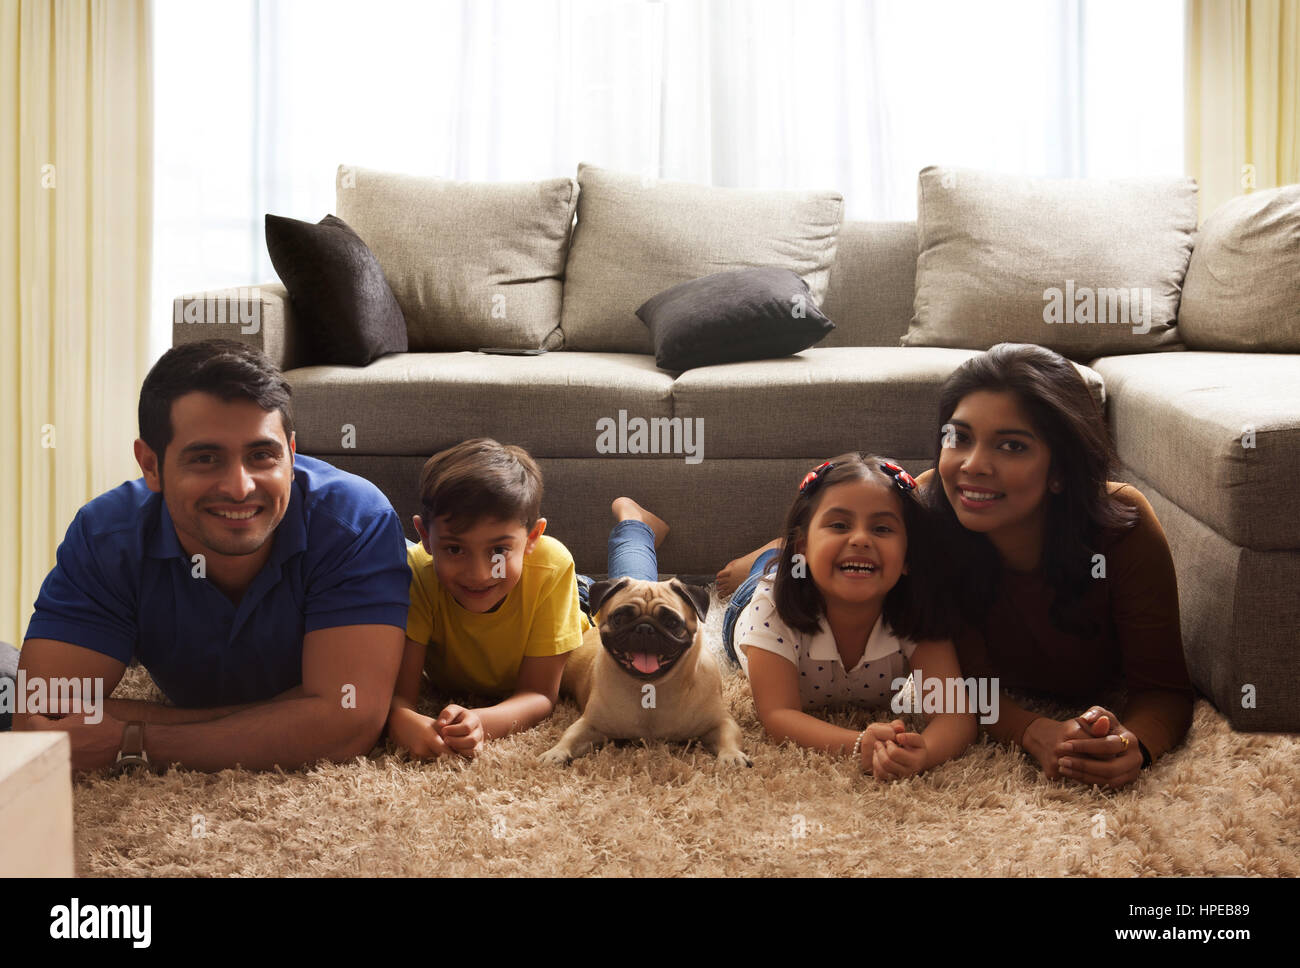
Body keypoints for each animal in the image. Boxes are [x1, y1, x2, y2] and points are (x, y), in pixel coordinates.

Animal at [540, 576, 754, 764]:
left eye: (672, 622)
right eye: (619, 618)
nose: (644, 628)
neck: (651, 687)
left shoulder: (720, 722)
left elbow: (728, 736)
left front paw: (732, 756)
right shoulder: (590, 724)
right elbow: (570, 735)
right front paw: (555, 752)